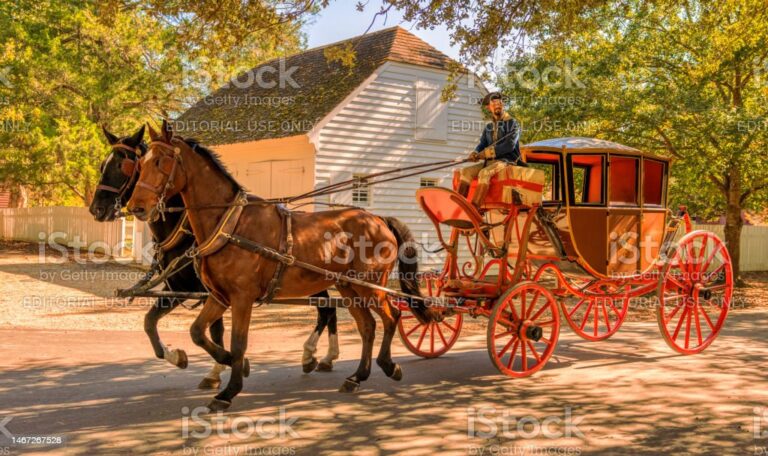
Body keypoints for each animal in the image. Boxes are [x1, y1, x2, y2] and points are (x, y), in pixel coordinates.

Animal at [127, 120, 438, 411]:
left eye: (161, 161)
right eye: (140, 164)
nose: (136, 207)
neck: (231, 224)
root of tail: (378, 219)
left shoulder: (242, 298)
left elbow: (238, 342)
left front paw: (229, 390)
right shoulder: (219, 296)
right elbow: (198, 332)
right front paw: (232, 365)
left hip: (371, 286)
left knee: (390, 318)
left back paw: (388, 365)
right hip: (348, 287)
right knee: (368, 326)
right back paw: (357, 376)